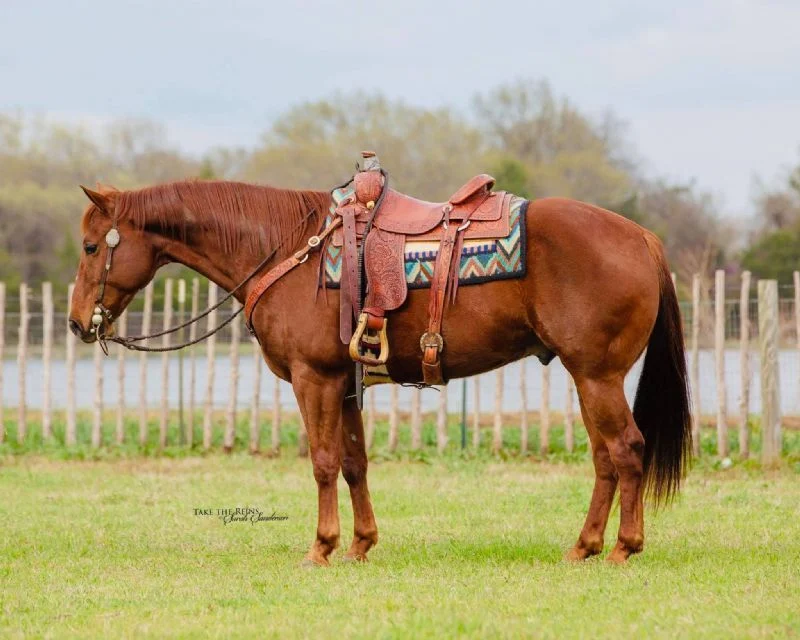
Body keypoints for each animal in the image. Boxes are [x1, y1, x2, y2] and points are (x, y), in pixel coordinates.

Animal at [69, 178, 691, 566]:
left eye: (91, 245)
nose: (77, 323)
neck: (287, 249)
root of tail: (642, 237)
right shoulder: (345, 385)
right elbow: (353, 463)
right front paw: (360, 544)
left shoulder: (314, 379)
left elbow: (322, 463)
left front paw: (320, 547)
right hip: (588, 379)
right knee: (605, 459)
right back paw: (584, 547)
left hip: (598, 376)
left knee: (627, 450)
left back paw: (623, 548)